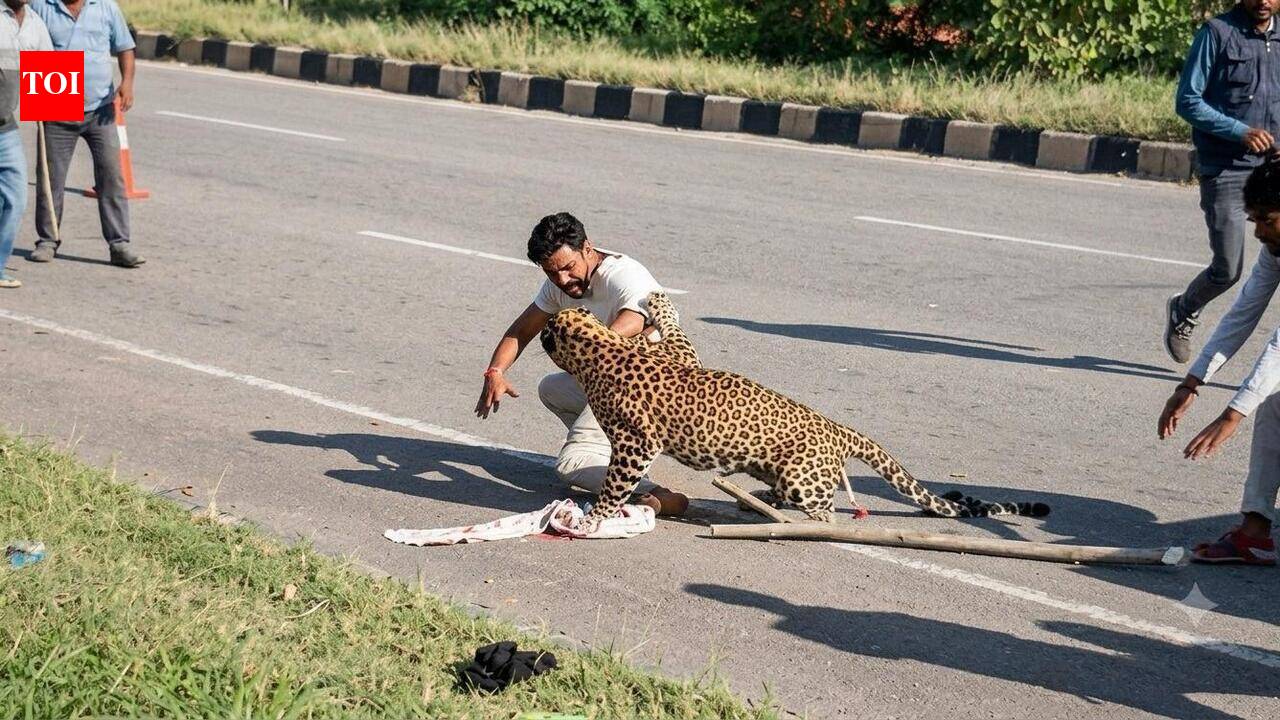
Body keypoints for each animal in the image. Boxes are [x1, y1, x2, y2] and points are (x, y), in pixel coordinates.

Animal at [540, 291, 1050, 531]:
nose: (543, 331)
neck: (601, 346)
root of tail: (837, 428)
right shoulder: (682, 356)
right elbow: (678, 331)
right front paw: (660, 302)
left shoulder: (635, 442)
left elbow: (614, 484)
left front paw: (594, 518)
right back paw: (757, 499)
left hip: (805, 478)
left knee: (826, 511)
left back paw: (798, 522)